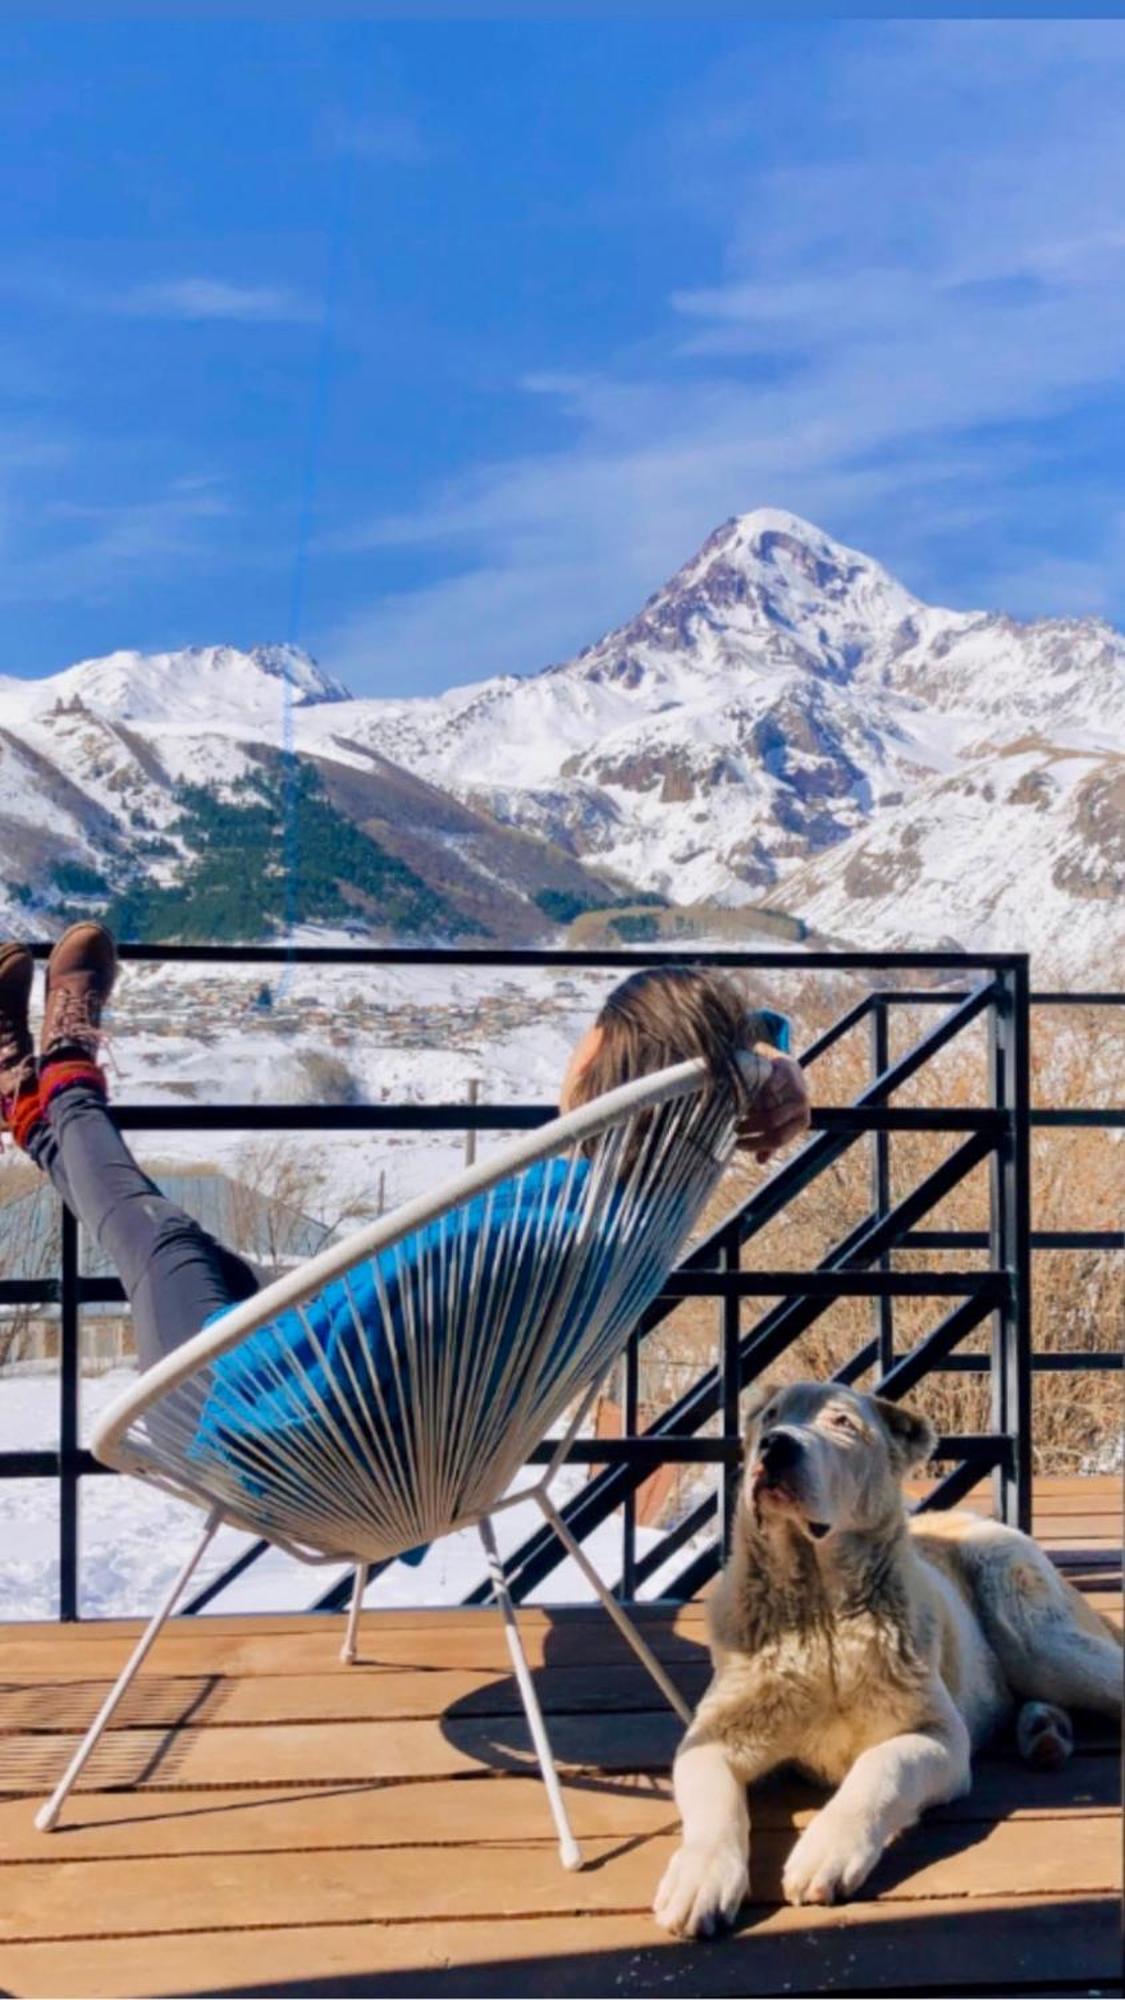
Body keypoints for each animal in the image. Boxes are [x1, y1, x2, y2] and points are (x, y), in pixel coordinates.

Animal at [652, 1376, 1112, 1936]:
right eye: (771, 1417)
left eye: (842, 1423)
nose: (776, 1446)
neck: (821, 1615)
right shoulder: (713, 1739)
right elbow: (714, 1805)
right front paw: (698, 1878)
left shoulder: (937, 1737)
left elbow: (881, 1769)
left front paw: (825, 1851)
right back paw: (1044, 1731)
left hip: (1036, 1636)